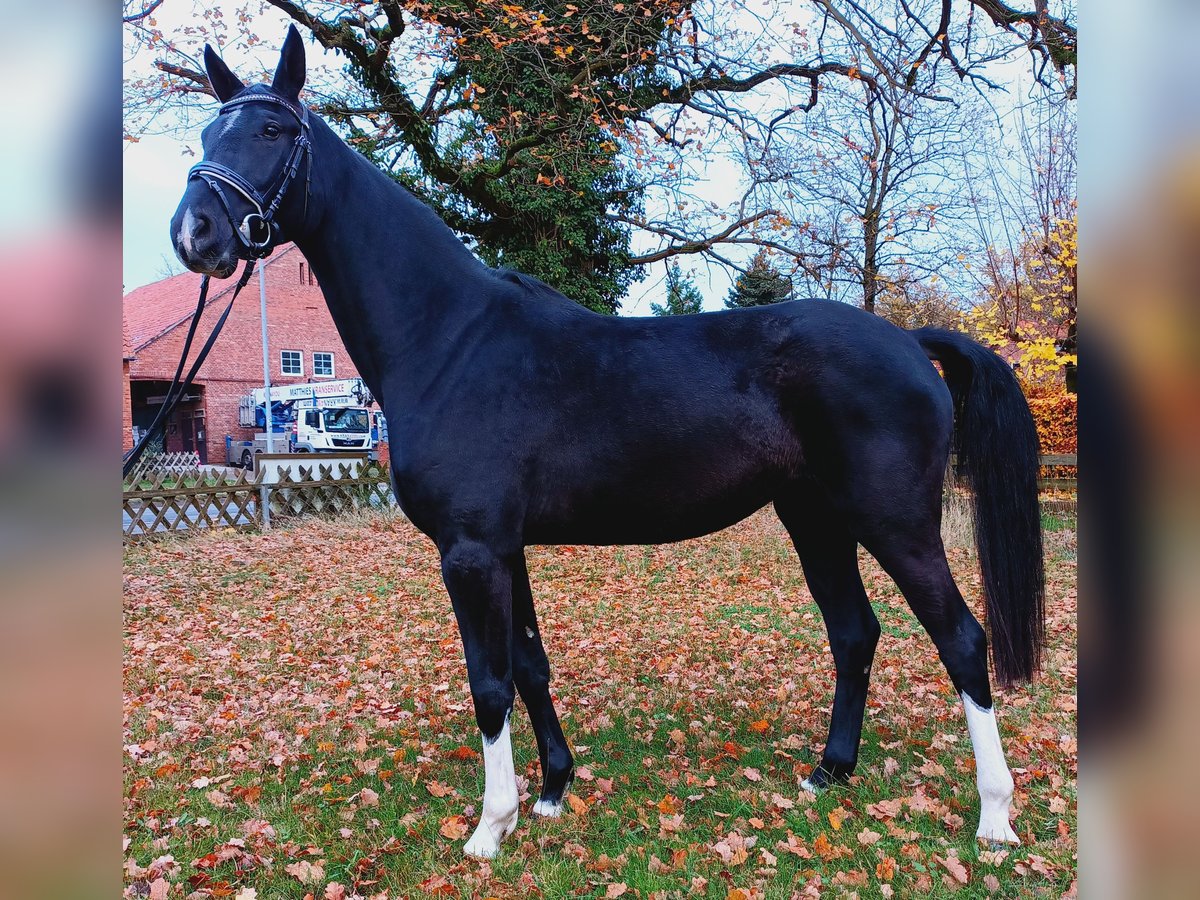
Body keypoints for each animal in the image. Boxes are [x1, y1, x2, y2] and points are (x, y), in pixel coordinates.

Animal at [171, 30, 1041, 859]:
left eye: (273, 129)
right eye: (209, 128)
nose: (196, 232)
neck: (451, 339)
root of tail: (909, 339)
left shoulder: (470, 551)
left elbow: (489, 683)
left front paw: (490, 826)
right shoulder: (505, 548)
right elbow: (529, 666)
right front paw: (553, 790)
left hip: (894, 523)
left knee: (962, 641)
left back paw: (995, 819)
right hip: (815, 519)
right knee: (855, 633)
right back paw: (830, 771)